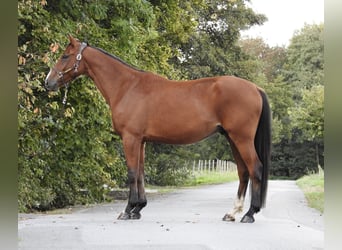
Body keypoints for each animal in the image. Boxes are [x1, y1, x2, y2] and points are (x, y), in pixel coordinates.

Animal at [44, 34, 270, 223]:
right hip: (232, 139)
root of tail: (255, 88)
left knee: (255, 169)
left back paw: (249, 214)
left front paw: (127, 210)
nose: (48, 82)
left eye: (65, 56)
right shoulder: (141, 141)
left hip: (241, 138)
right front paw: (138, 209)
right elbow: (141, 173)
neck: (127, 87)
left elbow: (132, 173)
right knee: (243, 172)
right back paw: (232, 213)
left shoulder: (130, 138)